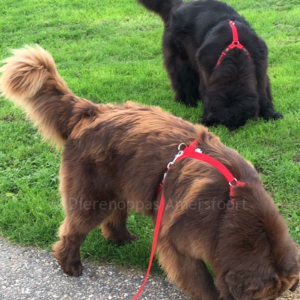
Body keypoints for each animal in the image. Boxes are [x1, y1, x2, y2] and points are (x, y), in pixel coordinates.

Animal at [1, 45, 298, 300]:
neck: (228, 211)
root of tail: (91, 112)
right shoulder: (177, 242)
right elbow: (199, 278)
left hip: (121, 184)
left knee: (114, 218)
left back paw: (124, 239)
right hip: (92, 196)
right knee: (73, 230)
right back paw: (71, 265)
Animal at [137, 0, 282, 129]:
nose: (232, 130)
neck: (235, 61)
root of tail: (177, 5)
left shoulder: (260, 67)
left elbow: (262, 93)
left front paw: (270, 114)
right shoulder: (207, 71)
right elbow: (206, 92)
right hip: (180, 59)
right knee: (183, 79)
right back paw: (188, 101)